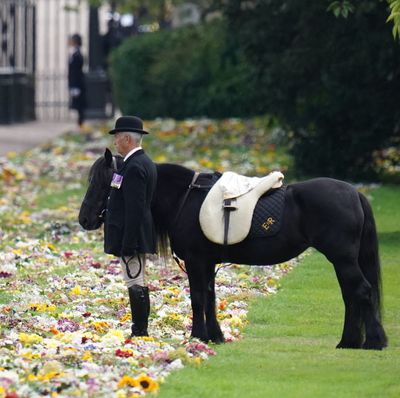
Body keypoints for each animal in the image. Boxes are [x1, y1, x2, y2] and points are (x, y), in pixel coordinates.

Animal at [79, 151, 388, 350]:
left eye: (102, 182)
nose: (84, 219)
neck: (185, 198)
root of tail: (354, 193)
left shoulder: (196, 261)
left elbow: (198, 299)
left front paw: (197, 337)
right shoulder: (207, 263)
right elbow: (211, 298)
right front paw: (214, 336)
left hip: (342, 259)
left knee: (362, 292)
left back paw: (373, 342)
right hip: (342, 260)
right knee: (351, 295)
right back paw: (349, 342)